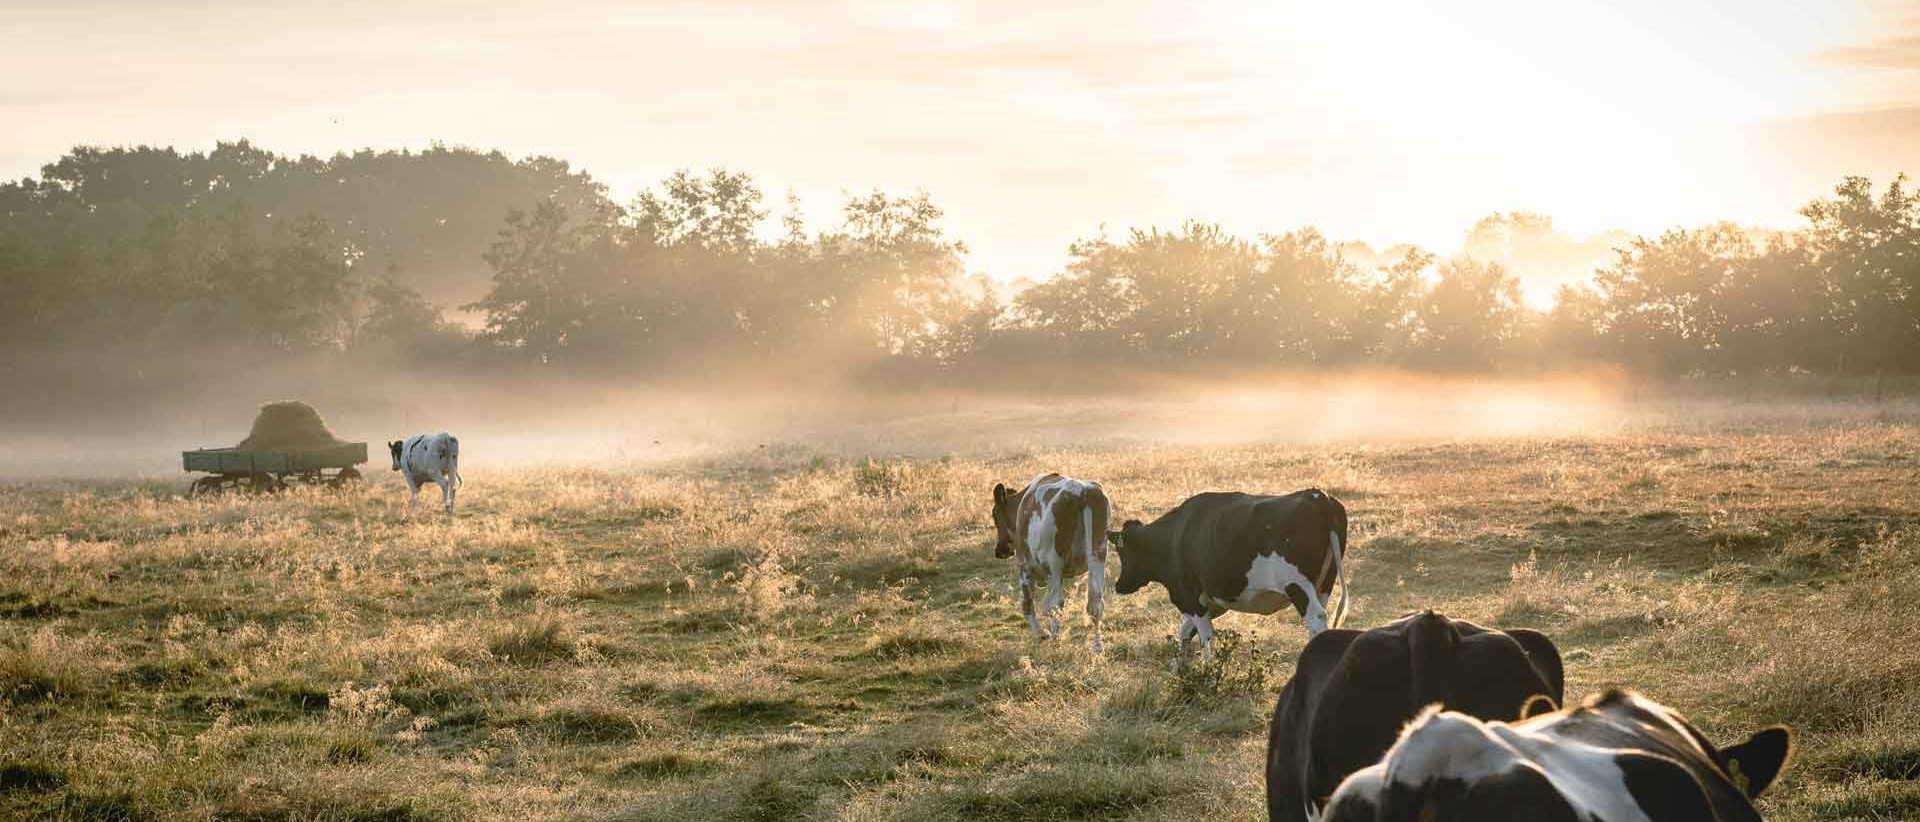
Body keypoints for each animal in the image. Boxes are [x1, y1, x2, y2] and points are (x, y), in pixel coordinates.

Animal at [990, 474, 1113, 653]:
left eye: (994, 514)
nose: (999, 551)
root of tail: (1080, 491)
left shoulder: (1024, 566)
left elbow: (1028, 604)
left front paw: (1041, 634)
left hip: (1054, 563)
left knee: (1056, 604)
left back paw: (1055, 641)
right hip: (1098, 555)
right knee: (1095, 602)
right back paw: (1097, 646)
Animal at [1105, 489, 1349, 664]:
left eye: (1122, 552)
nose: (1119, 586)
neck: (1175, 537)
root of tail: (1318, 495)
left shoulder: (1191, 598)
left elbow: (1205, 638)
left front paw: (1208, 672)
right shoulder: (1212, 602)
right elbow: (1185, 631)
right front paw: (1182, 668)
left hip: (1298, 585)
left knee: (1316, 618)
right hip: (1324, 585)